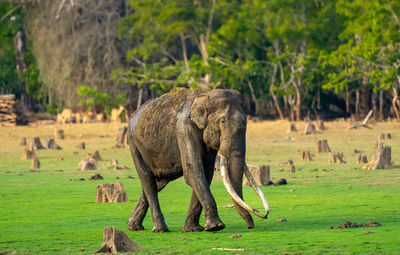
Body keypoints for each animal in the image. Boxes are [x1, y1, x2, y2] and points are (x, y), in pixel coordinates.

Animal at [126, 88, 268, 233]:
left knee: (159, 182)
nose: (250, 226)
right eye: (223, 121)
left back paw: (133, 226)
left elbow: (206, 174)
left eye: (246, 122)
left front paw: (193, 229)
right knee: (148, 179)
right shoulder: (185, 130)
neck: (205, 96)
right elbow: (193, 171)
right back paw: (160, 229)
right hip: (134, 144)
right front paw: (216, 226)